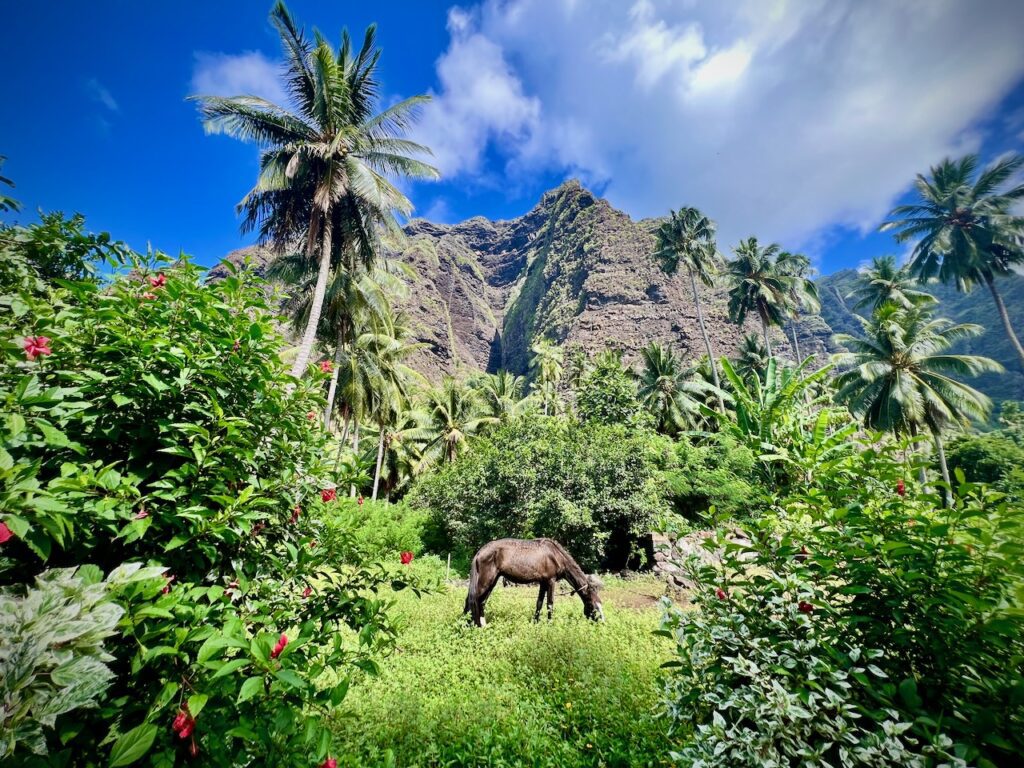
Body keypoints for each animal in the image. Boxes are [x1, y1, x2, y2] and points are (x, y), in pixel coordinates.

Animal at [462, 536, 602, 626]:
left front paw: (535, 623)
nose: (602, 622)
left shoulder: (543, 583)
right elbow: (550, 604)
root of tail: (480, 552)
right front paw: (549, 624)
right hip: (485, 581)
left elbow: (539, 603)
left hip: (492, 582)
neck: (556, 555)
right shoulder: (550, 581)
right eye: (592, 605)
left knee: (481, 602)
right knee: (472, 600)